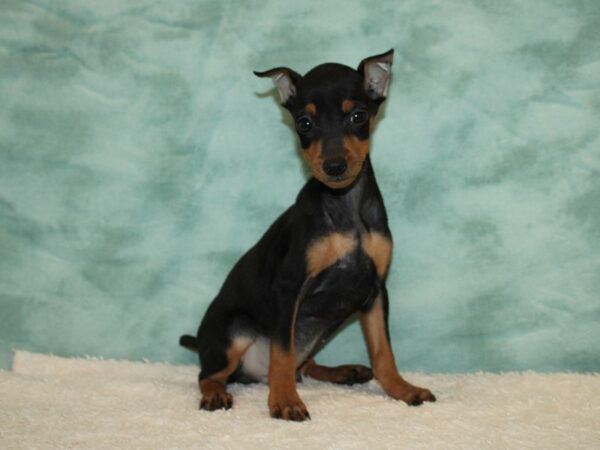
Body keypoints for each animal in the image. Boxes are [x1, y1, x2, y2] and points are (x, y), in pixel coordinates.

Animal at [179, 50, 436, 422]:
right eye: (304, 123)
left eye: (358, 116)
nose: (334, 166)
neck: (345, 206)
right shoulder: (289, 289)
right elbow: (283, 355)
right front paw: (285, 400)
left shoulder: (375, 290)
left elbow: (383, 352)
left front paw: (402, 390)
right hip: (235, 331)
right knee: (210, 374)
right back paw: (217, 393)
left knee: (303, 365)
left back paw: (344, 372)